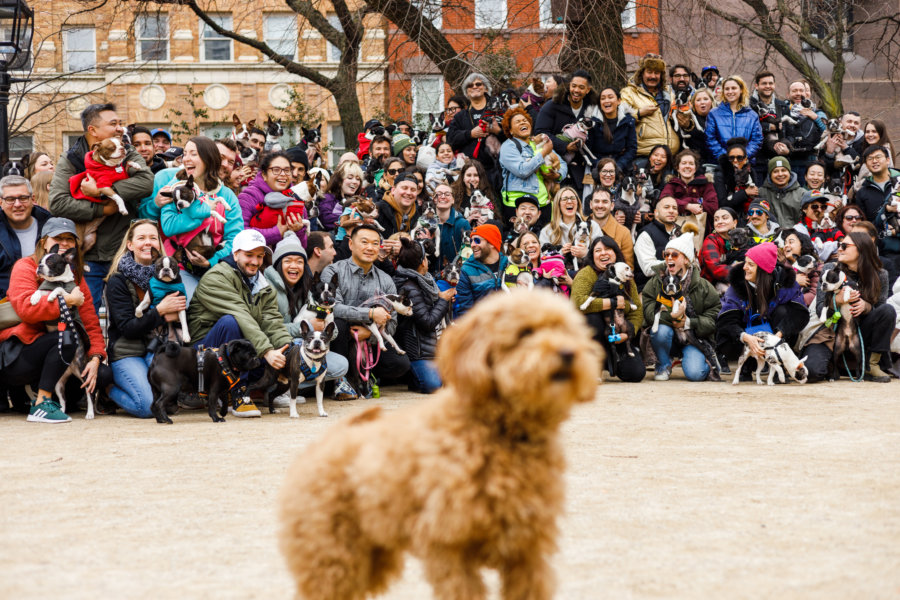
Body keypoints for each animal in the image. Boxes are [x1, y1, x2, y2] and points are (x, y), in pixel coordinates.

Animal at [278, 290, 600, 600]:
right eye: (525, 332)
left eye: (566, 329)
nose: (568, 354)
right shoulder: (450, 547)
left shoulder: (526, 550)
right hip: (333, 554)